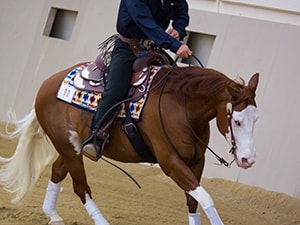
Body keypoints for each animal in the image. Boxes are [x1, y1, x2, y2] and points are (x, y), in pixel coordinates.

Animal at [0, 63, 258, 225]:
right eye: (236, 120)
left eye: (256, 118)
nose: (248, 159)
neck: (181, 105)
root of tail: (46, 84)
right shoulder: (170, 163)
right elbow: (205, 198)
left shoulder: (196, 162)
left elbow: (193, 200)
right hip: (69, 150)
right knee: (81, 187)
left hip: (71, 148)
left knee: (57, 172)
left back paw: (53, 216)